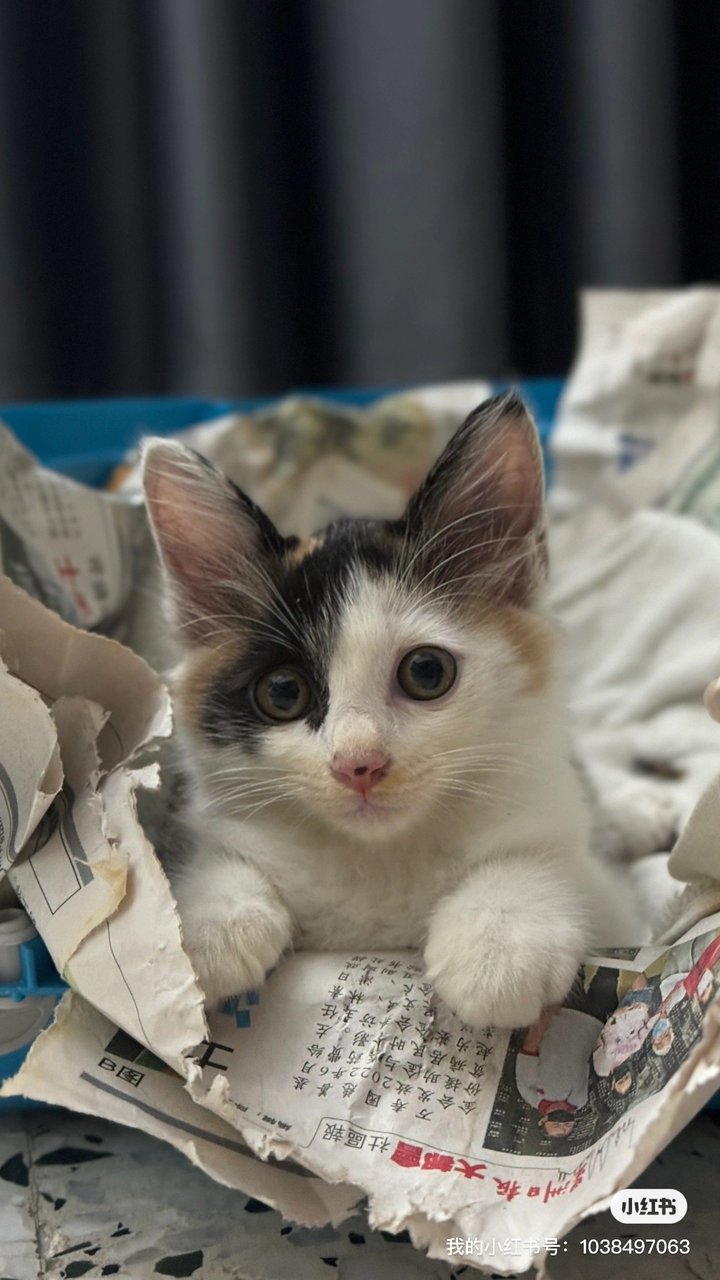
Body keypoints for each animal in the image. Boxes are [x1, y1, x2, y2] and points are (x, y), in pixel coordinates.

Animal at [140, 389, 632, 1029]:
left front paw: (499, 941)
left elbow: (551, 863)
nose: (359, 764)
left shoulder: (608, 889)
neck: (378, 858)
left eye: (426, 673)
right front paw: (206, 926)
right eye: (283, 692)